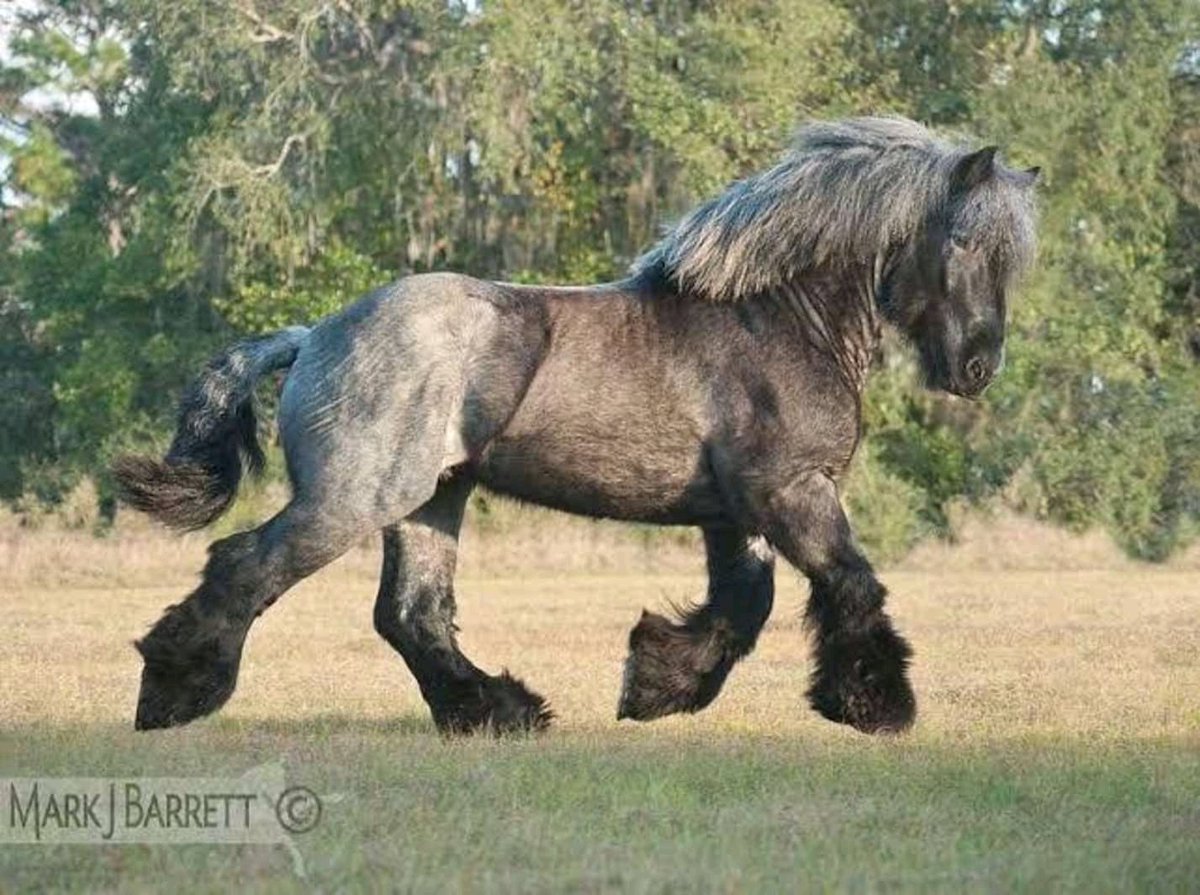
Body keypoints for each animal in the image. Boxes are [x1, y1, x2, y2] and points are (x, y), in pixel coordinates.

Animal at [113, 116, 1038, 735]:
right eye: (963, 239)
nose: (977, 366)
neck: (777, 317)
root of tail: (313, 335)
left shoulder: (737, 513)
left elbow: (744, 606)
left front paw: (656, 684)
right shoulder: (791, 492)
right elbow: (848, 581)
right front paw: (876, 702)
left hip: (430, 501)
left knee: (411, 614)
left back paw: (501, 710)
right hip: (354, 498)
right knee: (248, 564)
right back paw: (173, 693)